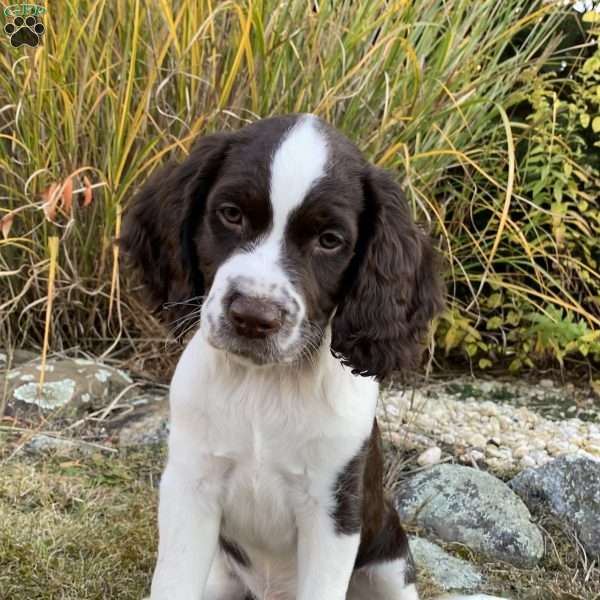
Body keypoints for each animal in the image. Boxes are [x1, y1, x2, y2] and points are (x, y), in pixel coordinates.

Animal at [122, 113, 502, 600]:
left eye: (329, 240)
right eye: (231, 214)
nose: (253, 316)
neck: (264, 386)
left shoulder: (333, 511)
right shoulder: (190, 487)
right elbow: (172, 582)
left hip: (391, 564)